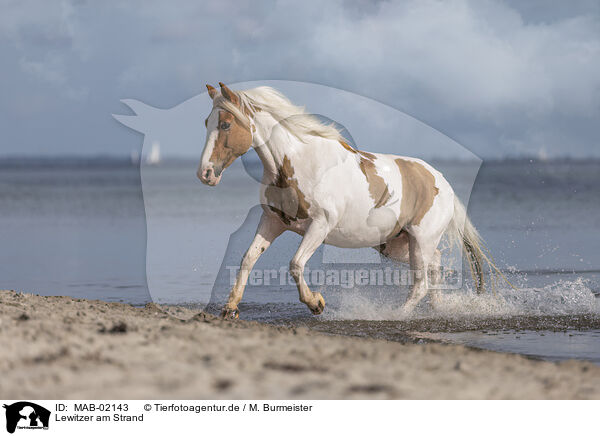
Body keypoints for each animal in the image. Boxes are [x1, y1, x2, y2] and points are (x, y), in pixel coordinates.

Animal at [199, 82, 490, 320]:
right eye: (206, 122)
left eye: (225, 124)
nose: (205, 173)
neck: (300, 164)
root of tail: (441, 181)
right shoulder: (273, 221)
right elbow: (248, 259)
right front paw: (230, 309)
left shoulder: (320, 225)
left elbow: (296, 264)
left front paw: (316, 304)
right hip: (398, 244)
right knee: (435, 266)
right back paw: (436, 309)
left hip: (421, 240)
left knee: (420, 285)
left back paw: (395, 315)